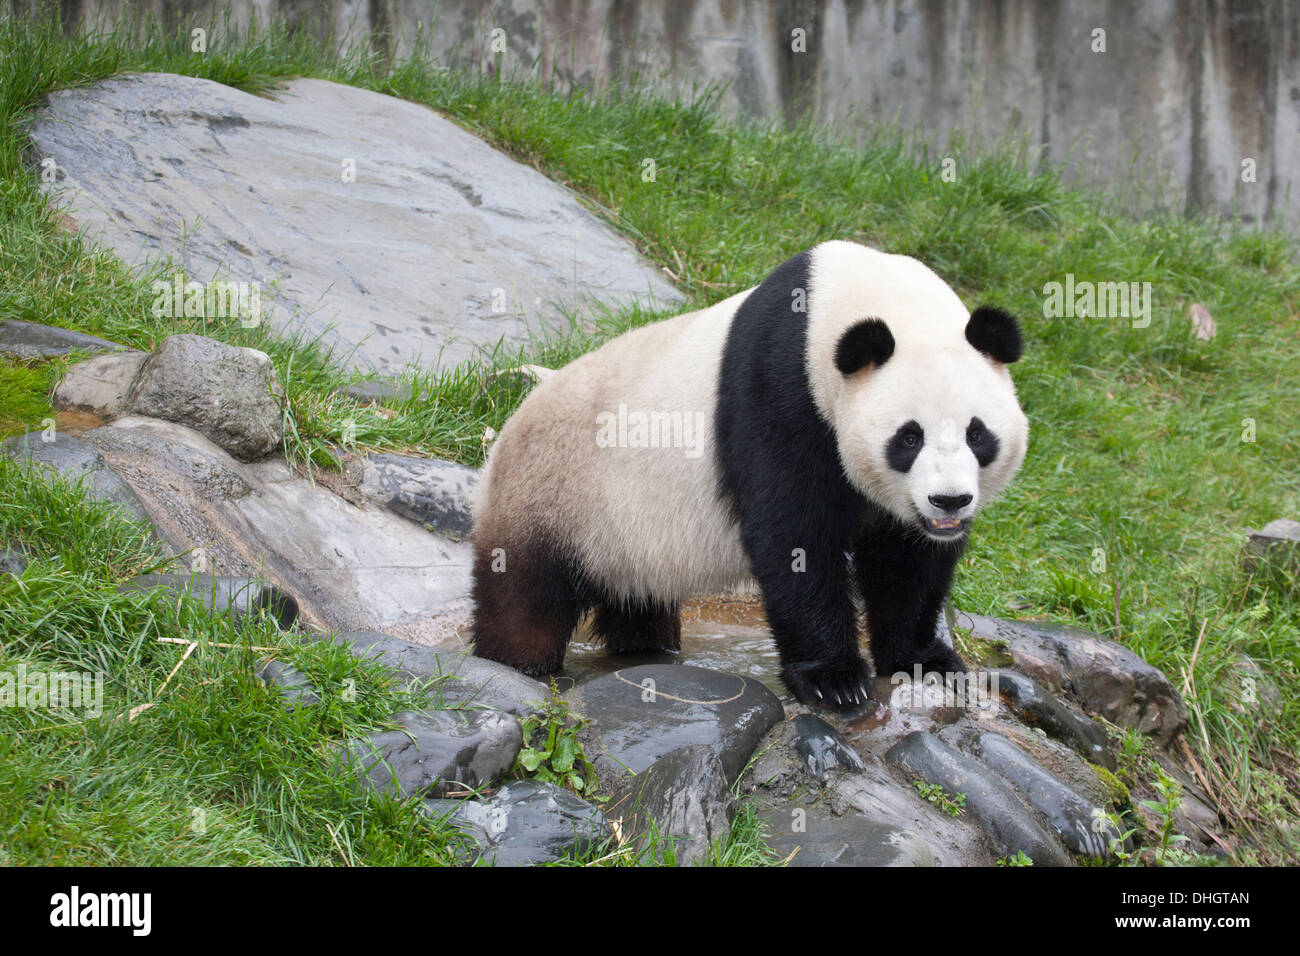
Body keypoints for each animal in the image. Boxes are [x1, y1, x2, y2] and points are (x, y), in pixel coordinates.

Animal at [467, 244, 1024, 712]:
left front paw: (925, 662)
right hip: (554, 491)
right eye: (909, 438)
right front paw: (834, 680)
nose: (949, 501)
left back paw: (648, 650)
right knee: (526, 593)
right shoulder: (779, 388)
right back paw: (518, 664)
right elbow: (792, 535)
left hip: (622, 536)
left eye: (977, 434)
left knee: (637, 598)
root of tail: (511, 425)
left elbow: (905, 558)